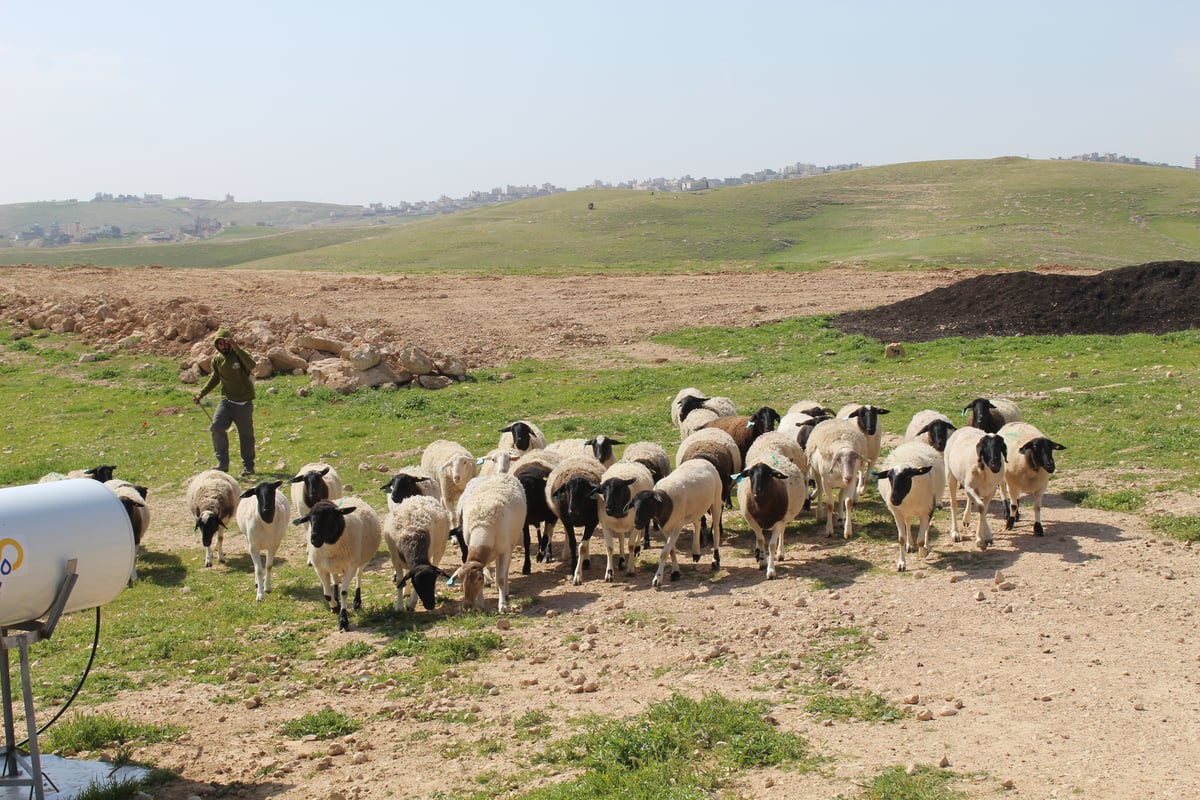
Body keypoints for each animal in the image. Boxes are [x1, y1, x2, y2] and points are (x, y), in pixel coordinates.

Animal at [292, 494, 381, 633]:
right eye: (310, 519)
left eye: (329, 516)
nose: (314, 540)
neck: (330, 545)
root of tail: (350, 497)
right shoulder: (320, 568)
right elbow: (327, 595)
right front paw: (334, 606)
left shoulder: (350, 567)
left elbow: (344, 592)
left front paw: (343, 620)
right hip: (333, 565)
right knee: (335, 579)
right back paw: (336, 599)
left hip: (362, 560)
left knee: (359, 576)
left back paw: (357, 602)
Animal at [451, 472, 525, 618]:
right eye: (462, 579)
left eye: (479, 579)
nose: (467, 606)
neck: (482, 526)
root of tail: (500, 474)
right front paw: (480, 604)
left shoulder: (504, 550)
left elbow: (500, 578)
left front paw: (503, 606)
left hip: (511, 543)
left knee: (505, 569)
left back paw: (505, 591)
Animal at [628, 455, 720, 587]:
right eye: (634, 505)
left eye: (648, 503)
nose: (636, 523)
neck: (665, 502)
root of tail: (702, 460)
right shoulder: (664, 527)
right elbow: (671, 550)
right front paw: (675, 572)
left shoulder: (677, 526)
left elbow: (665, 552)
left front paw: (658, 578)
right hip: (695, 509)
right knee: (697, 524)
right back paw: (696, 552)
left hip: (716, 501)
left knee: (716, 531)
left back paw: (715, 561)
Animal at [873, 441, 945, 573]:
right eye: (889, 477)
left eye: (907, 477)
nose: (893, 499)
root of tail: (915, 442)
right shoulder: (897, 513)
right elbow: (901, 539)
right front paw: (901, 564)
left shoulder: (925, 512)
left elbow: (920, 540)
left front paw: (923, 552)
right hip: (906, 512)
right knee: (908, 522)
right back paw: (910, 545)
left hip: (930, 508)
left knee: (926, 528)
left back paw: (925, 546)